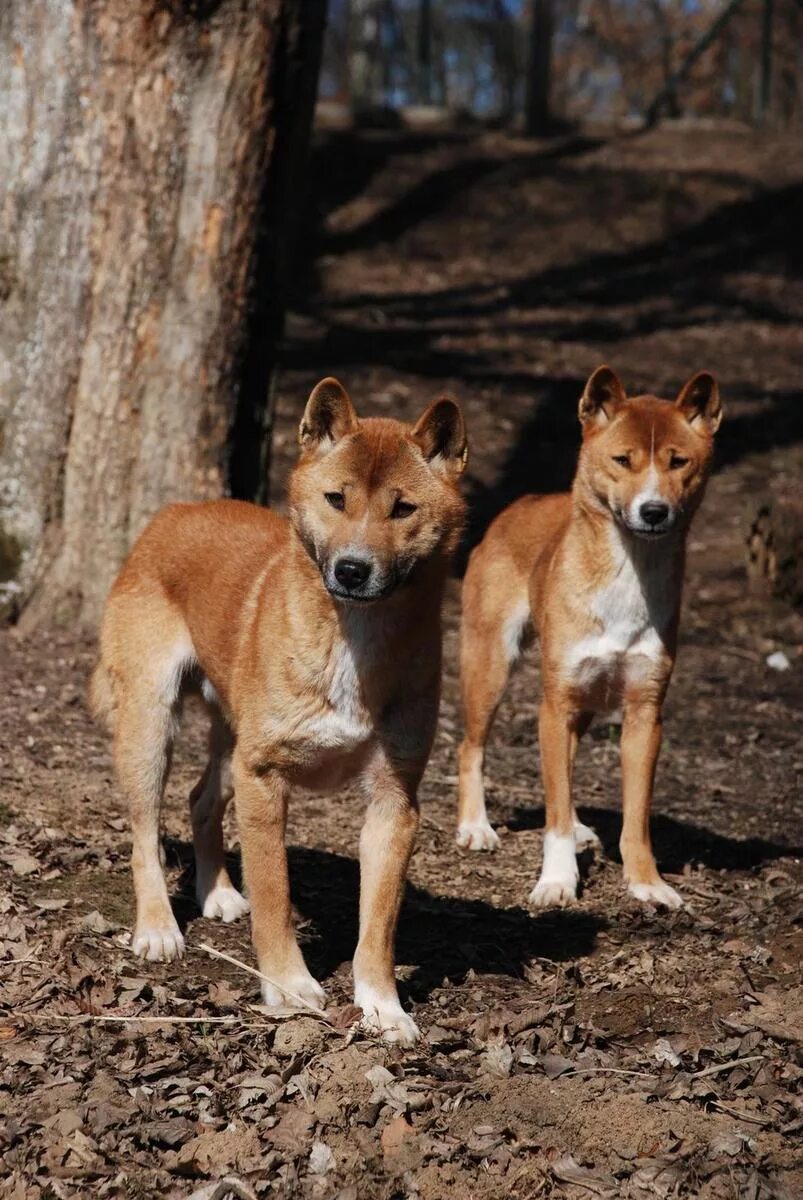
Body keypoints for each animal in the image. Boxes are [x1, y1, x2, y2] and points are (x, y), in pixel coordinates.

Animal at [92, 379, 470, 1046]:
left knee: (199, 799)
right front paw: (289, 987)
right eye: (336, 498)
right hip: (151, 724)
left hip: (230, 740)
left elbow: (378, 926)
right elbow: (274, 897)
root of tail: (176, 510)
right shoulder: (265, 777)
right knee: (143, 832)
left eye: (402, 509)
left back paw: (217, 893)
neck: (352, 642)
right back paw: (158, 927)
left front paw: (383, 1006)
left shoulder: (394, 800)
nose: (352, 569)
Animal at [453, 364, 724, 907]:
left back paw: (579, 829)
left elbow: (635, 819)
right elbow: (553, 814)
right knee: (470, 749)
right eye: (623, 460)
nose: (654, 511)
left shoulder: (644, 714)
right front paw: (557, 881)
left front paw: (646, 883)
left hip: (586, 699)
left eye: (678, 461)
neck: (627, 578)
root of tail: (523, 501)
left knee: (566, 773)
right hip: (492, 668)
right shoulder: (553, 704)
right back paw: (475, 828)